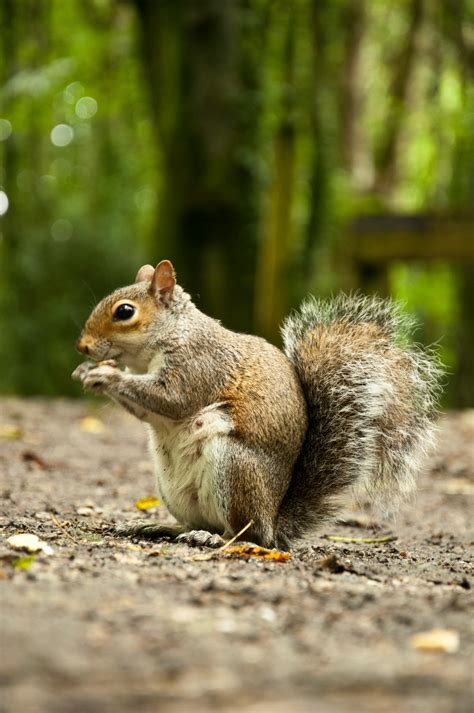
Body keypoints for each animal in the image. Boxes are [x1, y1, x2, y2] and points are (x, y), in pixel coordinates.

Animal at [72, 258, 442, 548]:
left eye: (125, 312)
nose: (83, 347)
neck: (172, 334)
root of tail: (272, 521)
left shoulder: (200, 365)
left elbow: (173, 400)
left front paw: (107, 376)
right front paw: (88, 372)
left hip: (235, 468)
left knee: (243, 534)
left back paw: (213, 538)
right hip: (172, 488)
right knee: (197, 522)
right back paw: (159, 525)